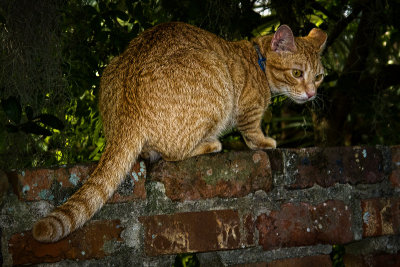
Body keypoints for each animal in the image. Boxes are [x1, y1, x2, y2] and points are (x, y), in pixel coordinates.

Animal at [32, 22, 326, 243]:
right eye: (297, 73)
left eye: (319, 77)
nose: (312, 93)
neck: (258, 60)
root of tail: (128, 102)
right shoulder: (249, 112)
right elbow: (253, 134)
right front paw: (265, 141)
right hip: (216, 82)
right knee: (174, 153)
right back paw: (211, 144)